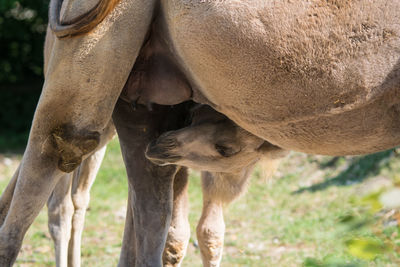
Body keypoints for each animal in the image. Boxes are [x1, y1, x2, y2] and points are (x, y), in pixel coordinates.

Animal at [0, 0, 400, 266]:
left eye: (226, 147)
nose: (166, 143)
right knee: (56, 161)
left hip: (136, 91)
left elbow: (204, 232)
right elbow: (190, 233)